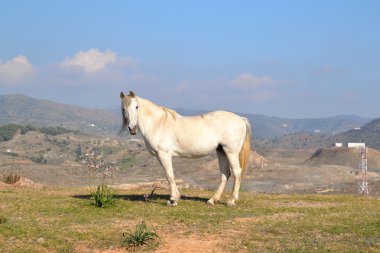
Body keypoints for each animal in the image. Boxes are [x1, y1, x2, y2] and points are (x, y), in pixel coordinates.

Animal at [120, 91, 251, 206]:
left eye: (136, 107)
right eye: (123, 109)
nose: (132, 129)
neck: (158, 123)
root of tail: (240, 119)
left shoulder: (164, 154)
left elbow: (170, 175)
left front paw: (173, 199)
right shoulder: (159, 156)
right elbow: (168, 175)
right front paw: (175, 198)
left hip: (231, 152)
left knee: (236, 172)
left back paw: (231, 201)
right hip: (221, 151)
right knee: (225, 174)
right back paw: (212, 200)